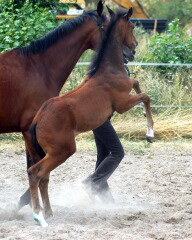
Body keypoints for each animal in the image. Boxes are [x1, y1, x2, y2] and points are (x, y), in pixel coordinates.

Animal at [27, 7, 154, 227]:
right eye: (131, 26)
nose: (134, 48)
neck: (108, 70)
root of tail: (38, 120)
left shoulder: (126, 92)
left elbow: (137, 83)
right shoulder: (122, 104)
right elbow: (145, 95)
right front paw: (150, 133)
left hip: (51, 153)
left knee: (44, 178)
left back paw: (49, 212)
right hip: (63, 151)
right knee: (35, 173)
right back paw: (39, 216)